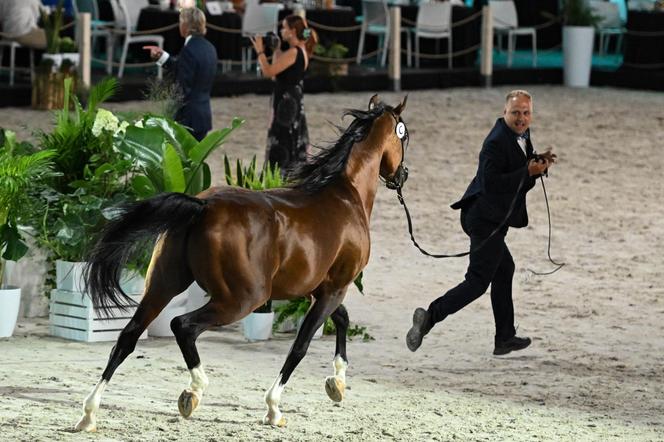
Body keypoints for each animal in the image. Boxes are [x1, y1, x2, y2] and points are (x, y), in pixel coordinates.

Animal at [76, 94, 410, 432]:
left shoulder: (317, 289)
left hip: (162, 285)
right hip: (243, 299)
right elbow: (301, 345)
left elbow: (342, 319)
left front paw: (337, 384)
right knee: (182, 325)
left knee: (127, 337)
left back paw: (89, 414)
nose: (402, 175)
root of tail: (203, 206)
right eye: (403, 135)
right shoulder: (335, 288)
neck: (345, 195)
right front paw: (274, 408)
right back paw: (193, 392)